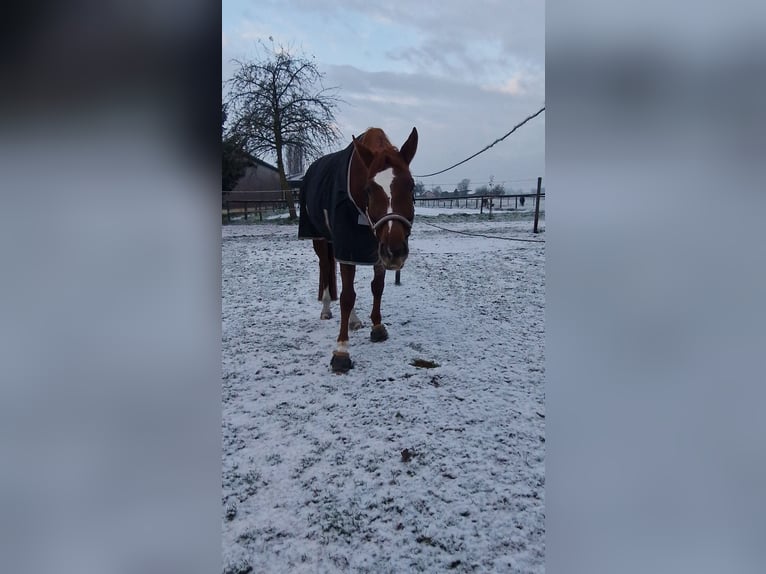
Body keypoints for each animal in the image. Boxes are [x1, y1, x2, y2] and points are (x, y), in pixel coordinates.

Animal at [300, 127, 420, 374]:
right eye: (369, 189)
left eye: (411, 185)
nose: (396, 251)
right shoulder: (349, 246)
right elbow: (347, 297)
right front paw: (341, 352)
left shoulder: (376, 250)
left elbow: (377, 287)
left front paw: (377, 327)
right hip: (321, 239)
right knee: (326, 268)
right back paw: (326, 309)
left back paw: (354, 320)